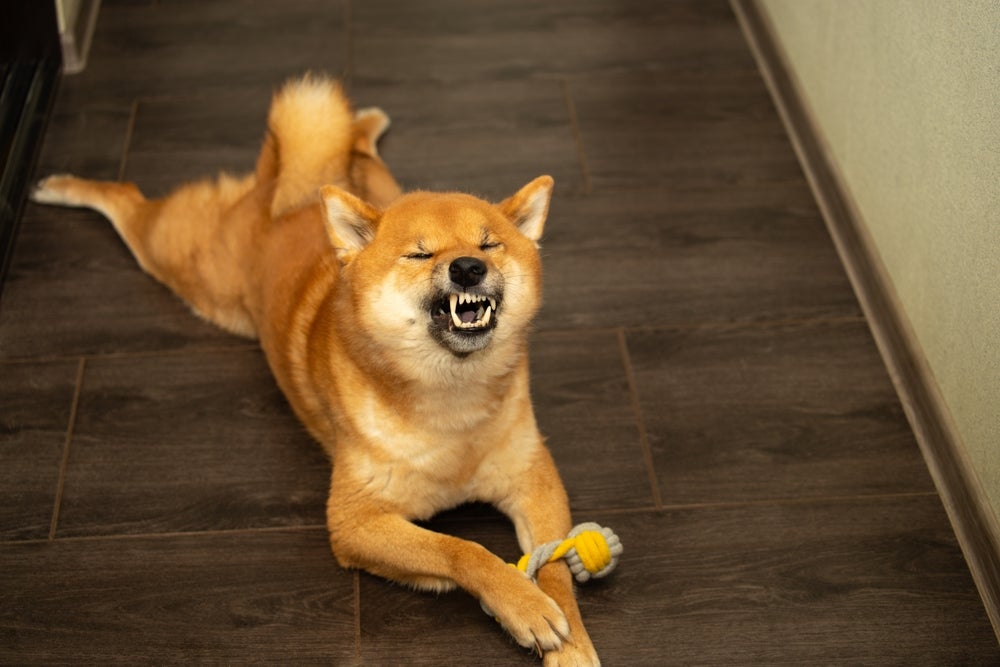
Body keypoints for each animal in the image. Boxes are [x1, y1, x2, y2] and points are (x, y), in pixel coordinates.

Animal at [33, 75, 600, 664]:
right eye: (419, 255)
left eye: (490, 244)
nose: (468, 267)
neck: (452, 401)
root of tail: (283, 190)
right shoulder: (354, 523)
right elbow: (462, 550)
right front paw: (524, 605)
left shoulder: (535, 480)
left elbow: (556, 567)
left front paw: (572, 645)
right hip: (191, 267)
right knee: (127, 199)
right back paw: (61, 186)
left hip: (375, 186)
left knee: (355, 142)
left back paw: (366, 119)